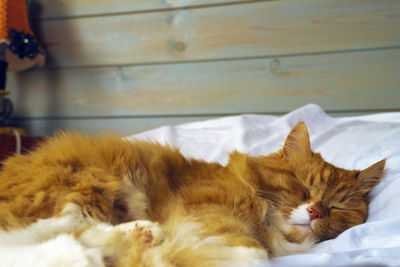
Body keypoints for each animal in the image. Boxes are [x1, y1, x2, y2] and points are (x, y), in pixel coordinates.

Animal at [0, 122, 388, 266]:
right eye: (303, 187)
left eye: (337, 207)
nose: (314, 212)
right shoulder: (211, 217)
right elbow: (252, 254)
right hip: (83, 192)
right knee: (47, 241)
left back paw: (141, 238)